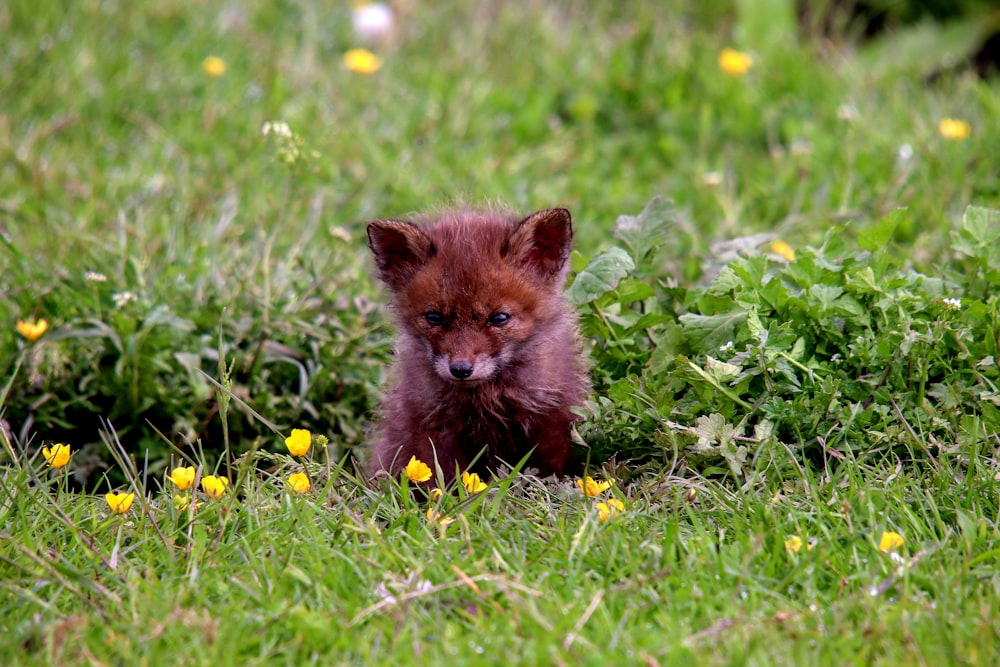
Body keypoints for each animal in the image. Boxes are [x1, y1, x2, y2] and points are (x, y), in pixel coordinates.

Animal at [366, 206, 584, 482]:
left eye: (499, 318)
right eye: (434, 318)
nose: (460, 369)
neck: (486, 398)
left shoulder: (550, 419)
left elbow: (544, 473)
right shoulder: (432, 424)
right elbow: (443, 479)